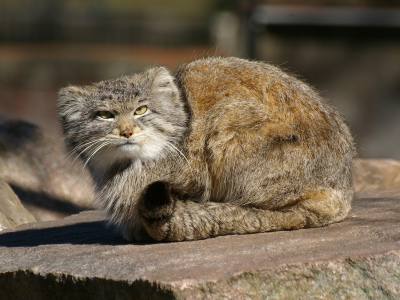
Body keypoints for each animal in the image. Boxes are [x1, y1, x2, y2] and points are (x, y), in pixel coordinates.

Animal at [57, 56, 354, 243]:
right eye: (104, 115)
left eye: (141, 110)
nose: (127, 131)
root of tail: (342, 191)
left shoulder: (192, 178)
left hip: (228, 119)